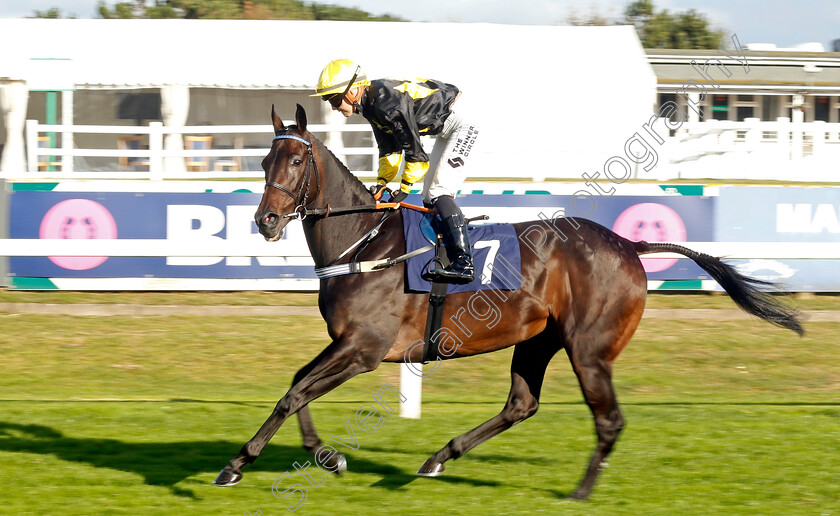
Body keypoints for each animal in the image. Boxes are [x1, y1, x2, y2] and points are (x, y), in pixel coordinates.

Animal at [213, 104, 804, 500]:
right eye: (264, 159)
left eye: (296, 160)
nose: (265, 220)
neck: (364, 243)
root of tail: (627, 245)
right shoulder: (347, 345)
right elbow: (296, 387)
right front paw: (326, 455)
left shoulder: (365, 349)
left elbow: (293, 396)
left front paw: (237, 464)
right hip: (538, 340)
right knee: (522, 404)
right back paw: (439, 457)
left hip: (589, 349)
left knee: (608, 420)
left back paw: (580, 492)